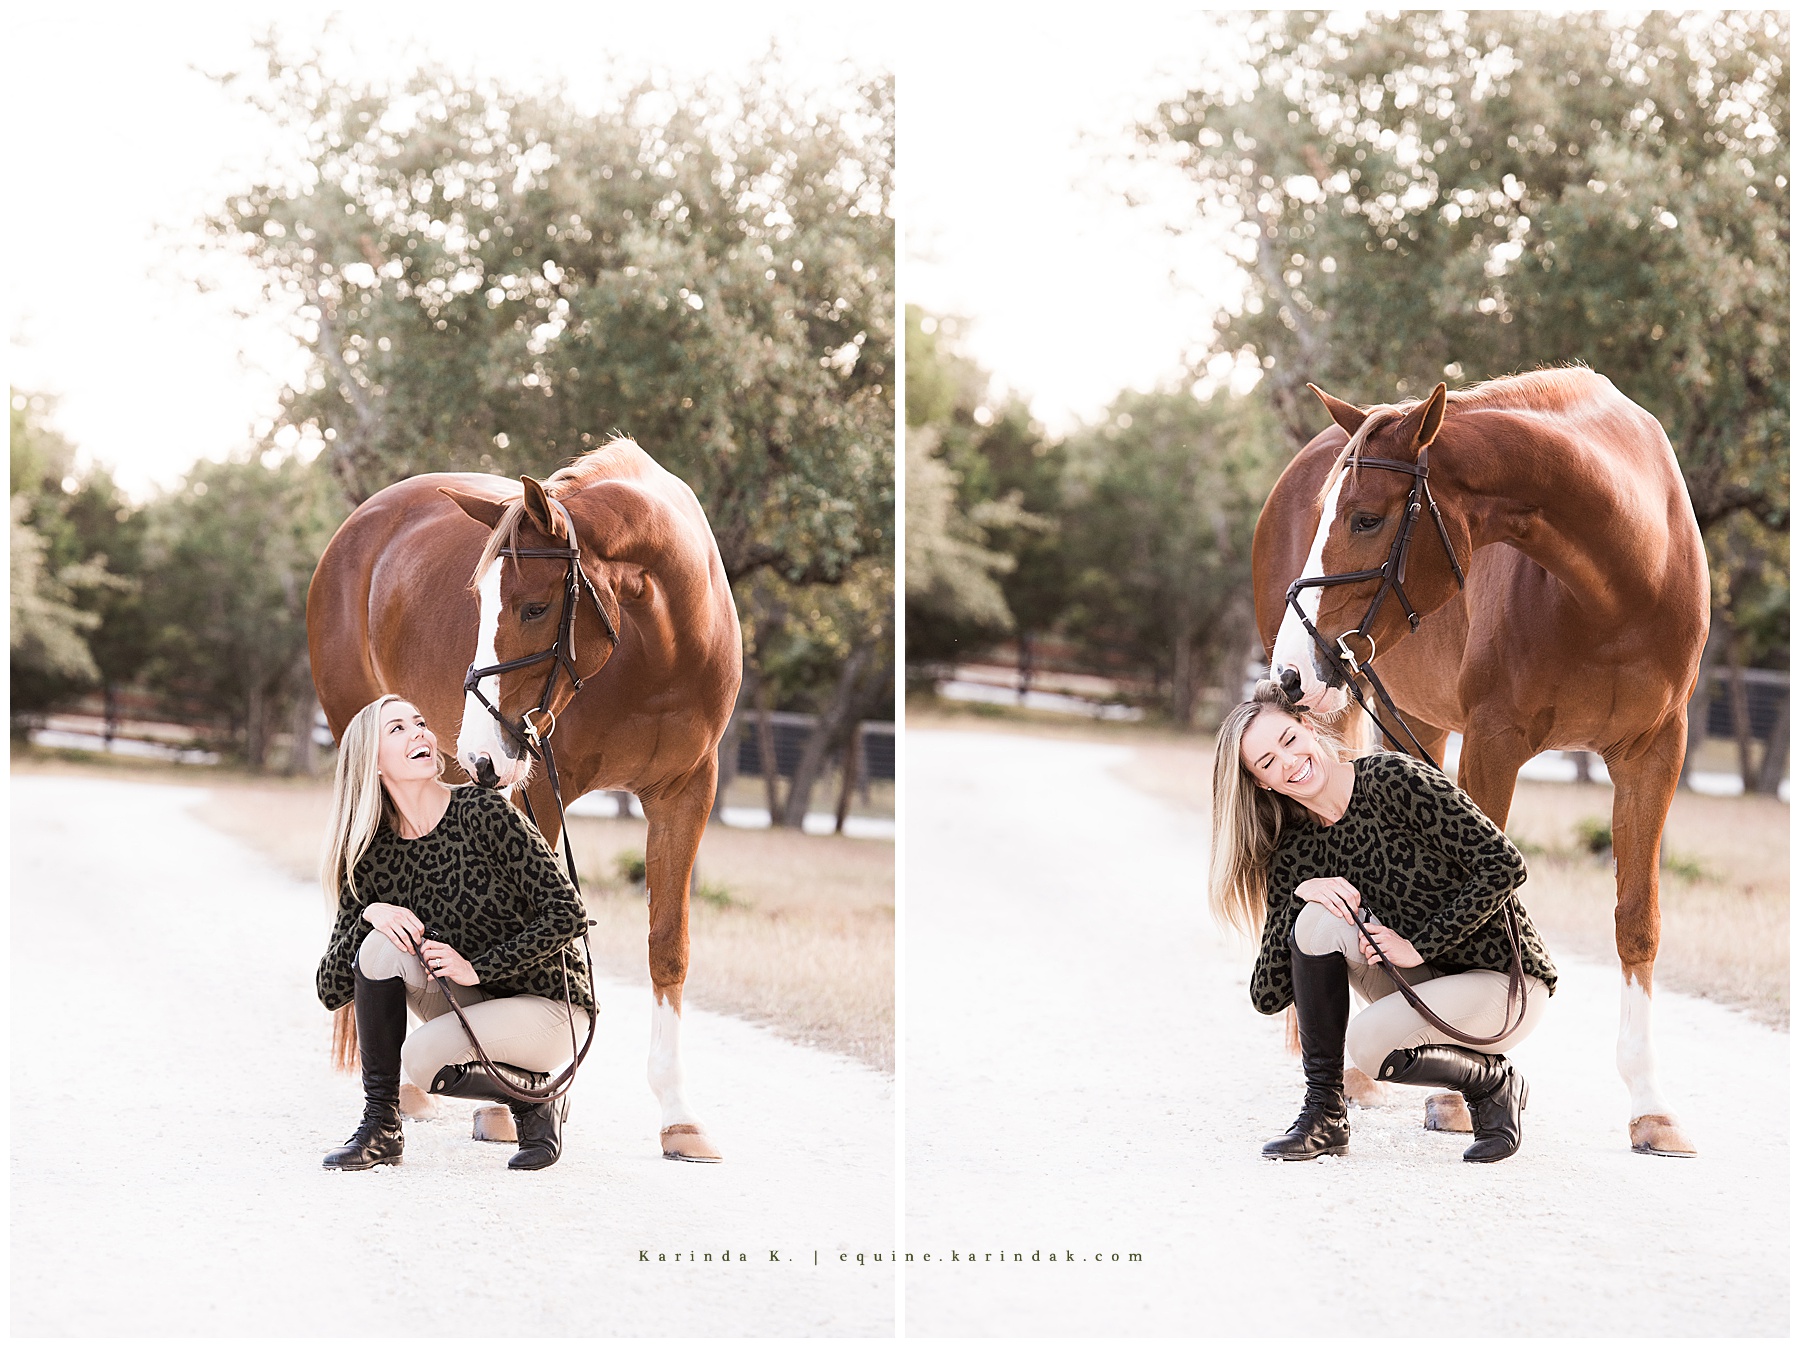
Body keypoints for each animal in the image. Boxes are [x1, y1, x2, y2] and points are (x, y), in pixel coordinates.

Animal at [306, 437, 743, 1161]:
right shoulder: (535, 786)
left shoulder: (687, 793)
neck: (659, 647)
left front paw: (679, 1117)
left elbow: (668, 945)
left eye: (535, 607)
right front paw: (519, 1102)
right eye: (479, 603)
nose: (483, 752)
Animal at [1252, 368, 1708, 1157]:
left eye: (1366, 519)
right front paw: (1459, 1094)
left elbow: (1638, 918)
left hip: (1420, 724)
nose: (1290, 672)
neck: (1623, 574)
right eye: (1321, 517)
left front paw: (1651, 1109)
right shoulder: (1496, 742)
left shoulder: (1657, 751)